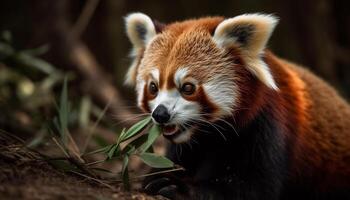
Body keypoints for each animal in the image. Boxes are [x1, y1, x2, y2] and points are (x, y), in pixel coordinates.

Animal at [123, 12, 350, 200]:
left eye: (187, 87)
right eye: (153, 87)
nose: (160, 114)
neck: (210, 137)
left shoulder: (268, 124)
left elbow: (253, 187)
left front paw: (179, 187)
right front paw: (158, 176)